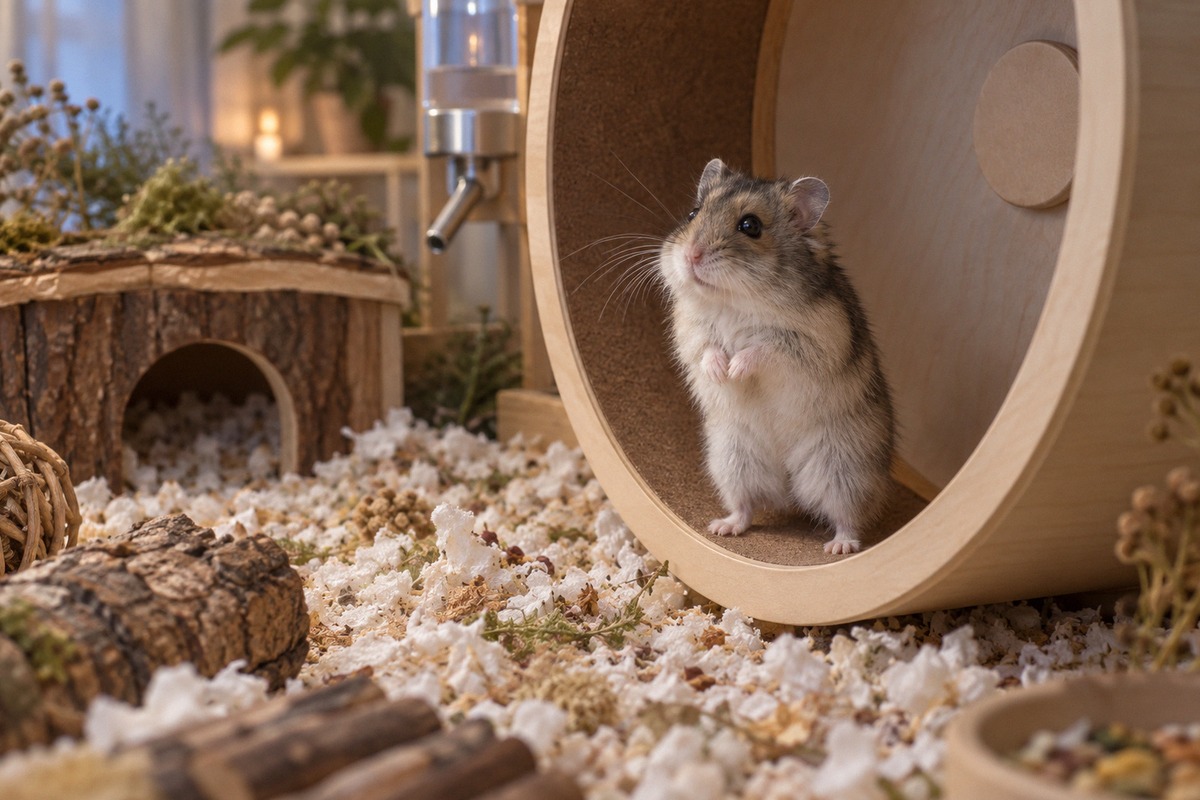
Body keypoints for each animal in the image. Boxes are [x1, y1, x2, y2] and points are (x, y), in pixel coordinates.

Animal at [657, 158, 895, 555]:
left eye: (750, 226)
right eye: (693, 213)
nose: (691, 255)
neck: (735, 300)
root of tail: (789, 487)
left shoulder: (809, 344)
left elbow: (763, 349)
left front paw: (735, 368)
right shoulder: (690, 332)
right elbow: (707, 350)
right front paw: (720, 372)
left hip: (843, 468)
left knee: (848, 515)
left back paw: (839, 547)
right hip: (732, 460)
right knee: (746, 505)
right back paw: (722, 527)